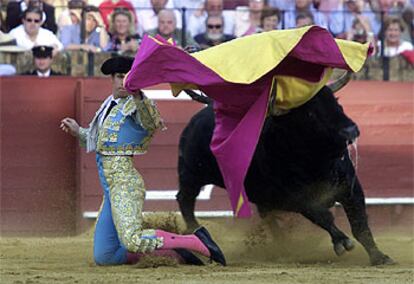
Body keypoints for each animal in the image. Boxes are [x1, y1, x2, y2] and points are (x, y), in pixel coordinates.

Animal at [175, 85, 394, 266]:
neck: (317, 162)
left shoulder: (350, 189)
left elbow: (360, 224)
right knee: (185, 199)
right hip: (191, 173)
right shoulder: (297, 198)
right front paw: (342, 241)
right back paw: (197, 232)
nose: (350, 130)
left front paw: (379, 257)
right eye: (311, 114)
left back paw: (282, 246)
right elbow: (323, 216)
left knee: (267, 215)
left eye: (337, 103)